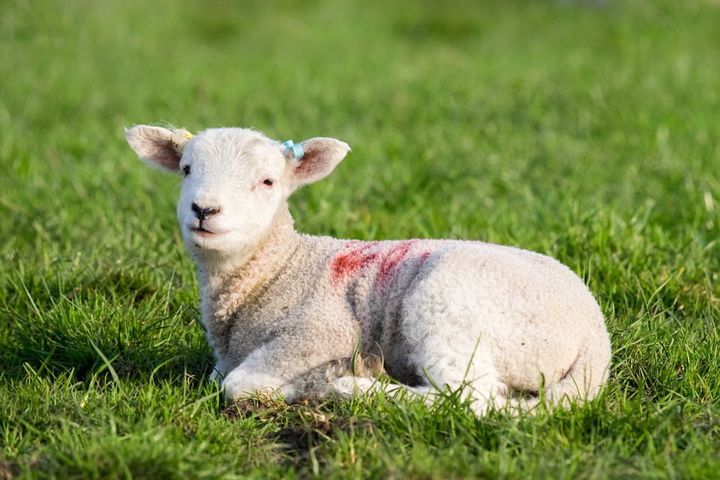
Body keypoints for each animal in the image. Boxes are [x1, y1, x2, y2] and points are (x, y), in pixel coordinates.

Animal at [125, 125, 611, 415]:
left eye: (267, 182)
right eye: (186, 169)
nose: (204, 209)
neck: (280, 269)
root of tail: (595, 337)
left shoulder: (323, 329)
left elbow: (238, 384)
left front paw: (305, 385)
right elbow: (218, 377)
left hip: (447, 305)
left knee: (472, 399)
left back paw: (353, 387)